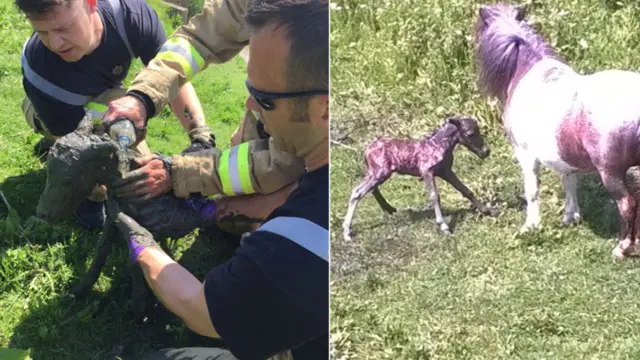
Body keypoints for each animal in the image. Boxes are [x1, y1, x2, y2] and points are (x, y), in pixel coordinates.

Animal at [342, 114, 498, 242]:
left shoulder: (445, 171)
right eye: (470, 133)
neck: (438, 146)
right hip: (380, 172)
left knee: (371, 190)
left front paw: (488, 210)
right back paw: (347, 232)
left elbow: (465, 190)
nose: (486, 152)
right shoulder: (427, 172)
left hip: (376, 173)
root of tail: (366, 150)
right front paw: (444, 226)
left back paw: (389, 209)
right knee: (357, 192)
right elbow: (435, 196)